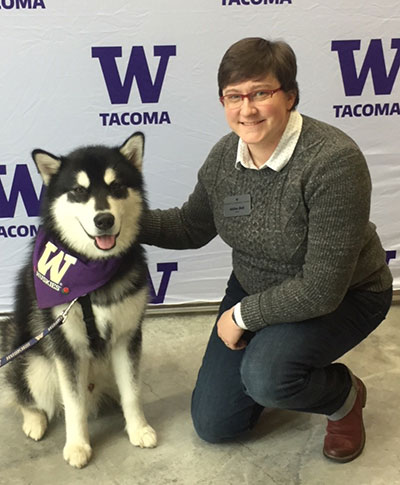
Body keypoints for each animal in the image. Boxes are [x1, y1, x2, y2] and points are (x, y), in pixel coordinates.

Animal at [0, 130, 157, 466]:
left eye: (116, 186)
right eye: (78, 191)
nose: (104, 220)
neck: (91, 272)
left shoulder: (127, 337)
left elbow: (132, 392)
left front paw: (139, 429)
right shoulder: (65, 347)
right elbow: (73, 405)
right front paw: (77, 445)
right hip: (34, 362)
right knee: (24, 395)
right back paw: (34, 420)